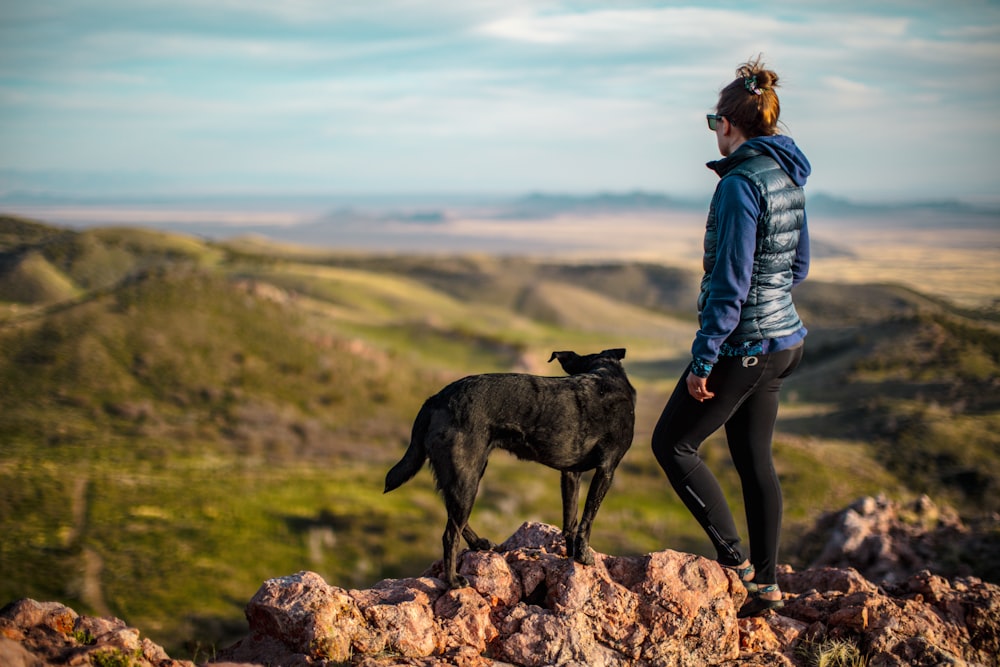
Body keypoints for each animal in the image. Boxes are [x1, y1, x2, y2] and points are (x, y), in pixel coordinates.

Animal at [382, 350, 632, 588]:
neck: (606, 374)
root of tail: (436, 398)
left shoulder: (571, 473)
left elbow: (570, 520)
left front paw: (572, 555)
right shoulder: (606, 470)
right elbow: (587, 519)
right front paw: (583, 555)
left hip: (462, 474)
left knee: (453, 516)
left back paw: (478, 543)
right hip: (466, 476)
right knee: (450, 534)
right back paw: (453, 580)